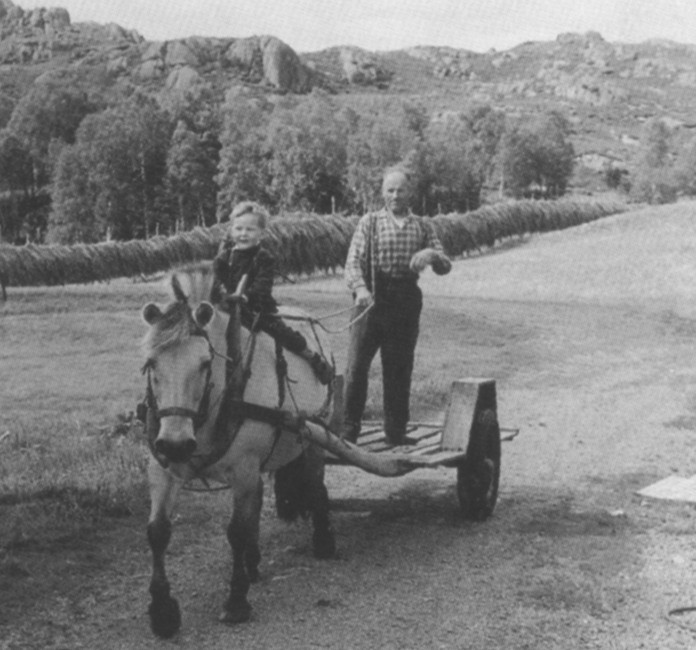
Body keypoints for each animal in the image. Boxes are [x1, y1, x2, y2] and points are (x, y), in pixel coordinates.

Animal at [139, 270, 338, 636]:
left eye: (205, 363)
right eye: (150, 363)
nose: (176, 444)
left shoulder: (243, 468)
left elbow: (236, 531)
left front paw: (236, 600)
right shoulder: (162, 467)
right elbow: (158, 531)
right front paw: (162, 610)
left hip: (316, 437)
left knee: (316, 483)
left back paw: (322, 539)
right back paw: (253, 561)